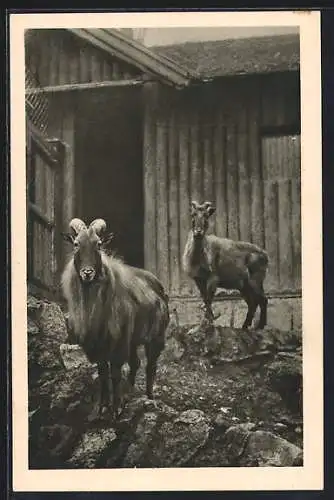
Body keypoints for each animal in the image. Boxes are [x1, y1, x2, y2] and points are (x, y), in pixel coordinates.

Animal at [60, 218, 170, 418]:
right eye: (76, 244)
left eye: (99, 244)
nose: (87, 273)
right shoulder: (99, 345)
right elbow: (103, 373)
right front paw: (102, 407)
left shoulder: (119, 340)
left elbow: (116, 372)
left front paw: (116, 408)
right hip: (133, 340)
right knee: (135, 363)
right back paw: (129, 394)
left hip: (155, 338)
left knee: (150, 367)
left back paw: (149, 398)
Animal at [183, 201, 268, 330]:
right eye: (193, 214)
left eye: (206, 215)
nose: (198, 231)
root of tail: (266, 256)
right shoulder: (198, 279)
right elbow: (205, 298)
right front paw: (208, 321)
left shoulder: (213, 277)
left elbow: (209, 299)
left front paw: (208, 322)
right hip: (244, 286)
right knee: (253, 303)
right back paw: (245, 326)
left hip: (255, 279)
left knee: (263, 300)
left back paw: (259, 326)